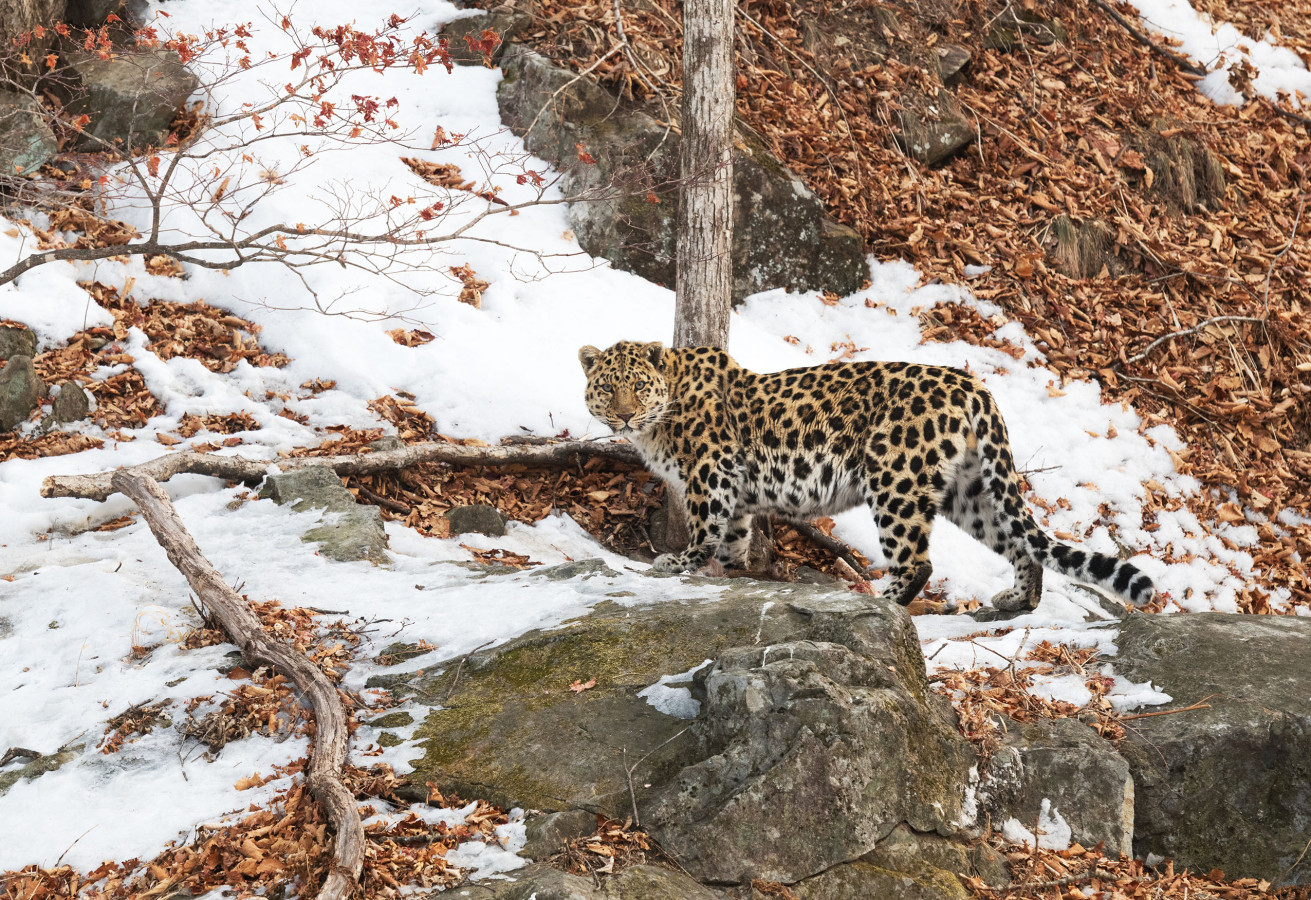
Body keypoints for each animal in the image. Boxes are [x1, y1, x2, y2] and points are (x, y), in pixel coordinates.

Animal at [579, 341, 1153, 613]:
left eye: (637, 387)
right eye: (607, 388)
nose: (624, 417)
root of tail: (973, 384)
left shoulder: (711, 470)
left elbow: (705, 527)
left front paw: (679, 562)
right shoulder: (735, 491)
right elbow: (734, 535)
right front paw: (738, 569)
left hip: (895, 479)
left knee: (919, 562)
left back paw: (882, 603)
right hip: (968, 489)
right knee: (1020, 542)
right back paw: (1016, 601)